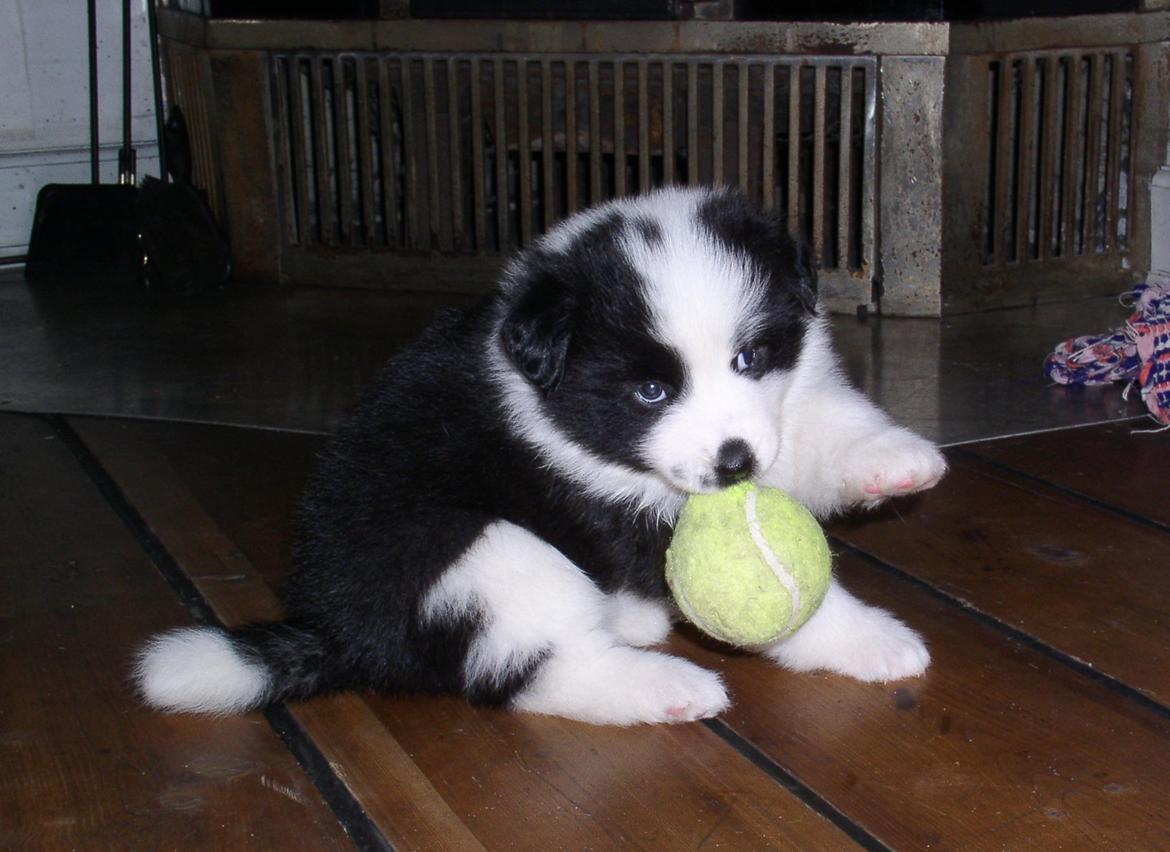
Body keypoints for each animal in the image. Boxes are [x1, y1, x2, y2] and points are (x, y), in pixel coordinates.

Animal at [136, 188, 945, 725]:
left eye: (750, 357)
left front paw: (896, 460)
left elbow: (815, 430)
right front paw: (868, 639)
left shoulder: (774, 414)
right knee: (539, 669)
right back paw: (666, 687)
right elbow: (784, 599)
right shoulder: (622, 508)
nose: (735, 464)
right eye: (651, 391)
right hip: (482, 557)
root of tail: (339, 633)